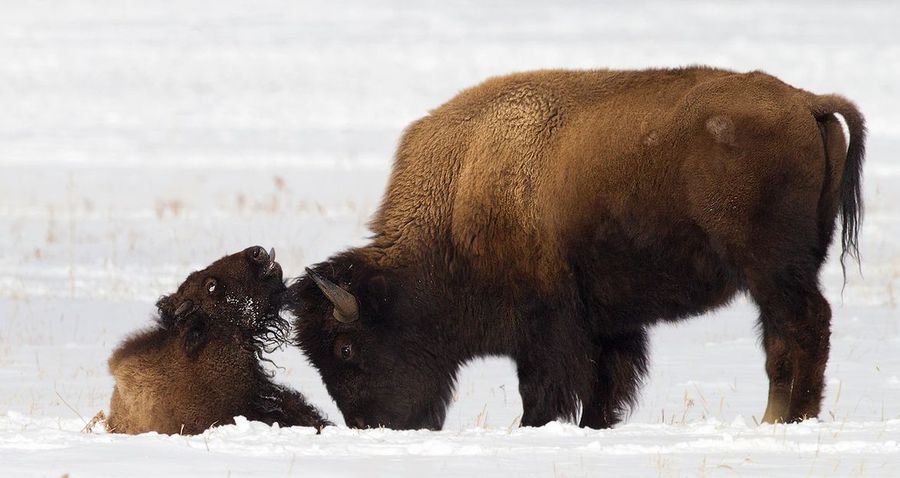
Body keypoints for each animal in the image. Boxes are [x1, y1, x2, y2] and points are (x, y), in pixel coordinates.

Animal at [288, 67, 864, 430]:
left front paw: (534, 426)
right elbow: (606, 384)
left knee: (799, 329)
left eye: (345, 349)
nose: (369, 426)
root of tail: (807, 102)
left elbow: (547, 388)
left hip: (772, 270)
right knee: (787, 335)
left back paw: (786, 417)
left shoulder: (548, 328)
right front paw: (593, 426)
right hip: (787, 269)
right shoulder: (607, 323)